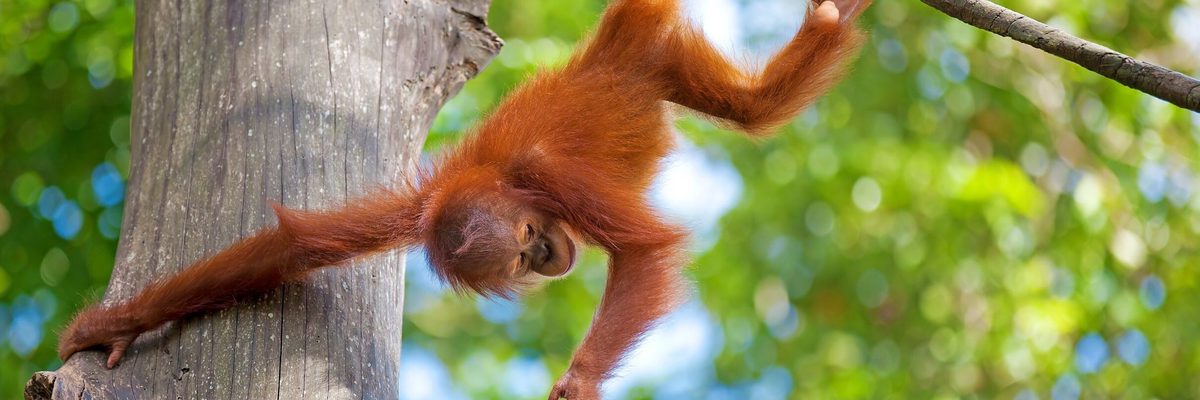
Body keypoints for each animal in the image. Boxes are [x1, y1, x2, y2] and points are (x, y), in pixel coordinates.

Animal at [57, 0, 870, 398]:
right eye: (521, 260)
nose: (551, 260)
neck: (506, 181)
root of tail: (603, 47)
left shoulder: (556, 179)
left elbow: (646, 250)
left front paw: (576, 386)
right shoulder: (419, 209)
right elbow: (296, 243)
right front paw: (110, 327)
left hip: (651, 53)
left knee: (751, 114)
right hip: (664, 59)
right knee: (751, 108)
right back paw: (828, 21)